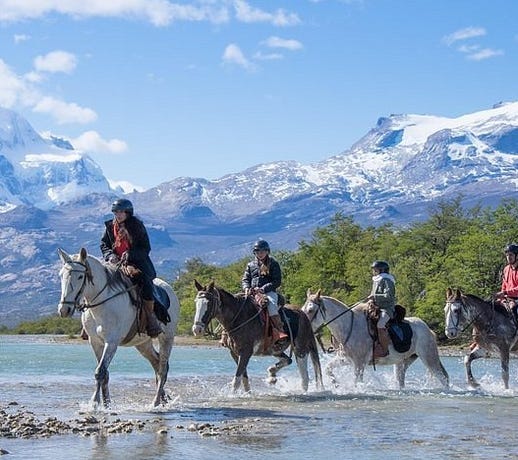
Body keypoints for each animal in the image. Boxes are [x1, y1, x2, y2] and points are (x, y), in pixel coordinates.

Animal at [57, 248, 181, 406]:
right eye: (61, 275)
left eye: (80, 276)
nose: (64, 310)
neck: (102, 303)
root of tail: (169, 289)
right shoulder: (95, 342)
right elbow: (104, 373)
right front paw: (106, 404)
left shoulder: (112, 342)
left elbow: (100, 372)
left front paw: (94, 403)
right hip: (143, 343)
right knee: (156, 363)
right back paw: (164, 399)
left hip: (167, 338)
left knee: (162, 368)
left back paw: (156, 402)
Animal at [193, 278, 322, 394]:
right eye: (196, 302)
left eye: (208, 303)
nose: (197, 329)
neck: (238, 318)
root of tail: (303, 314)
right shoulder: (235, 353)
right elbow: (244, 378)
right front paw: (248, 394)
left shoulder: (246, 352)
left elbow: (237, 380)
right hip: (275, 350)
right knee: (288, 360)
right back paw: (272, 374)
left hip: (300, 350)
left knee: (304, 377)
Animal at [304, 292, 450, 388]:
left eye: (310, 310)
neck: (348, 326)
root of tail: (428, 330)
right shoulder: (345, 360)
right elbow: (328, 369)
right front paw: (336, 384)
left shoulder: (359, 363)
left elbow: (357, 382)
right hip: (403, 362)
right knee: (401, 380)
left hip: (429, 358)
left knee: (443, 378)